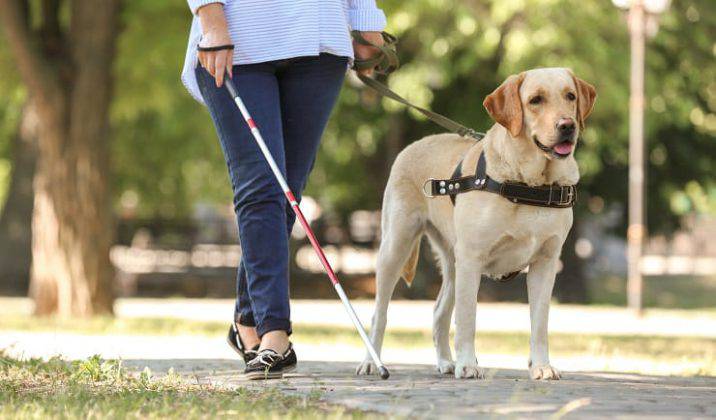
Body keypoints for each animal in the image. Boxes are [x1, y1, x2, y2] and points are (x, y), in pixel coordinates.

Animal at [358, 67, 600, 378]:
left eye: (570, 96)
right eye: (535, 100)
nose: (567, 125)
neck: (528, 185)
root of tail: (414, 145)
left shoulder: (546, 263)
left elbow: (540, 322)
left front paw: (541, 366)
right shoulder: (472, 258)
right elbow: (467, 318)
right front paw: (468, 364)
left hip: (453, 263)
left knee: (438, 311)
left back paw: (445, 362)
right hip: (396, 246)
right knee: (380, 313)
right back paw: (371, 362)